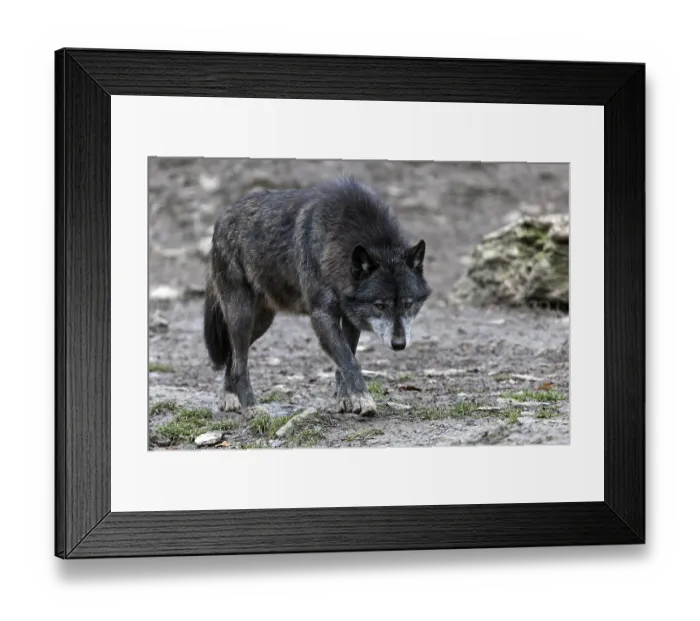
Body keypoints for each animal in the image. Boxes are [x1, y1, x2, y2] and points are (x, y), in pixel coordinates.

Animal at [203, 176, 432, 416]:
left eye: (408, 304)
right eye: (380, 305)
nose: (399, 344)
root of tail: (221, 217)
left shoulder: (350, 318)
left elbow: (346, 359)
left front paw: (346, 400)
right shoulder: (322, 316)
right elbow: (349, 361)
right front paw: (363, 399)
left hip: (261, 322)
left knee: (234, 356)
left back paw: (228, 396)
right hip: (243, 316)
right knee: (240, 363)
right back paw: (252, 408)